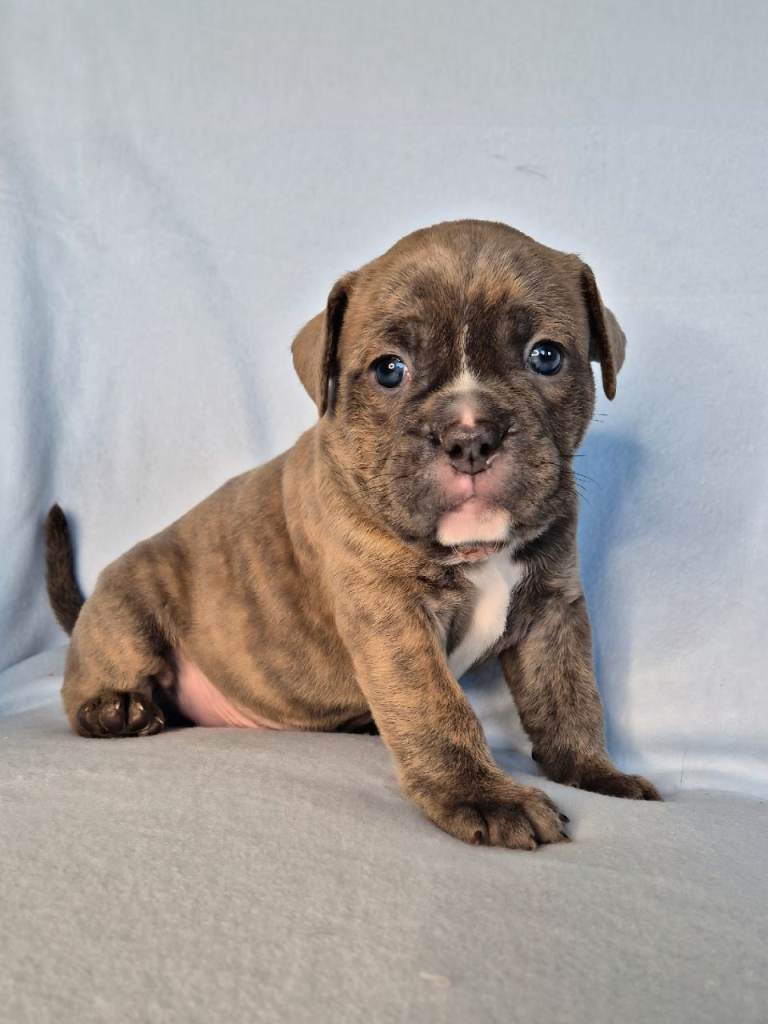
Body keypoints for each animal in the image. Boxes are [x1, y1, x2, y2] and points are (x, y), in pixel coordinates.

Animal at [45, 219, 660, 850]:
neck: (473, 549)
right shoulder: (392, 616)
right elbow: (436, 707)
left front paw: (594, 771)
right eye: (390, 370)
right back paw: (114, 711)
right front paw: (484, 795)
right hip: (129, 609)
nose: (471, 435)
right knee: (91, 684)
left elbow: (570, 696)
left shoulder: (553, 611)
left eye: (546, 356)